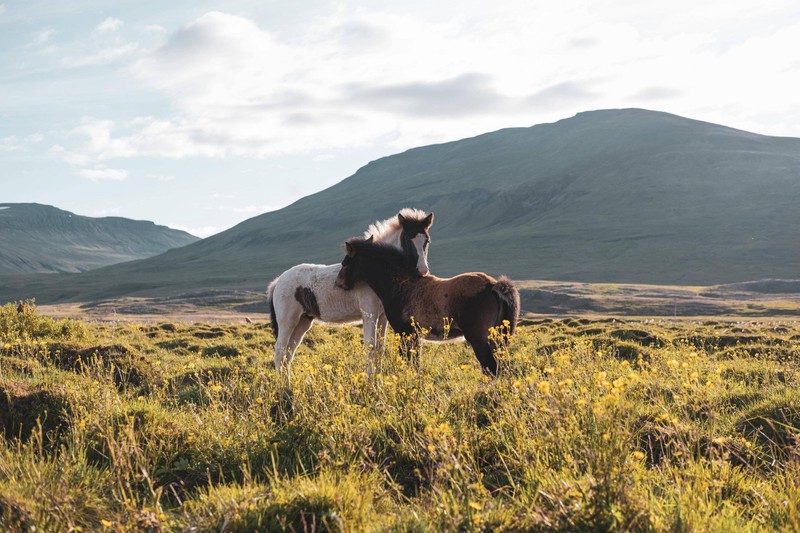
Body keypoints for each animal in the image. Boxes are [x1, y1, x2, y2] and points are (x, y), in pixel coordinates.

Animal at [268, 206, 432, 372]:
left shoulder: (382, 317)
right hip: (287, 321)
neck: (373, 272)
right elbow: (370, 347)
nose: (422, 270)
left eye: (427, 240)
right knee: (279, 352)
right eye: (407, 240)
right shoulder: (369, 312)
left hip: (303, 322)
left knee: (288, 355)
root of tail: (277, 282)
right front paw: (370, 379)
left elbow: (380, 348)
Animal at [336, 235, 520, 376]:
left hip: (479, 338)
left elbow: (408, 361)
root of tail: (493, 285)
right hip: (499, 338)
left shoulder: (404, 332)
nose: (339, 283)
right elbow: (415, 363)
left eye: (345, 263)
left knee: (491, 368)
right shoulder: (414, 335)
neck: (401, 285)